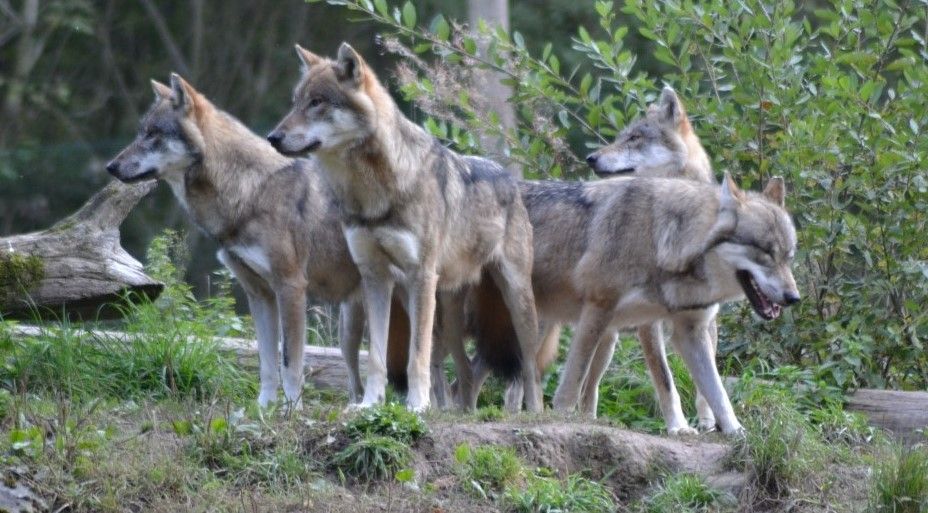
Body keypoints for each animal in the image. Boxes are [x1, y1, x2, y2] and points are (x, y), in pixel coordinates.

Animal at [105, 73, 410, 408]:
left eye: (153, 135)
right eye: (141, 133)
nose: (111, 166)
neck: (249, 192)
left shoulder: (290, 287)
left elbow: (290, 361)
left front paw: (291, 409)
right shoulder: (259, 295)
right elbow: (266, 362)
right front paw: (263, 408)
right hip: (350, 329)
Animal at [266, 44, 544, 412]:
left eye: (317, 102)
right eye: (296, 102)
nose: (273, 137)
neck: (373, 192)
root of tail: (510, 178)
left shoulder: (420, 276)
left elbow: (416, 356)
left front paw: (416, 405)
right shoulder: (375, 277)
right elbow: (376, 357)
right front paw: (370, 403)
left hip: (516, 301)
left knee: (530, 367)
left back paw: (534, 412)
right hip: (448, 315)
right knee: (465, 372)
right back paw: (460, 411)